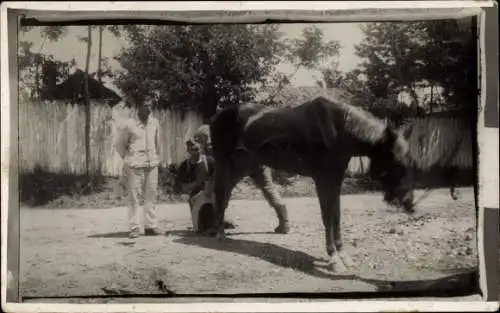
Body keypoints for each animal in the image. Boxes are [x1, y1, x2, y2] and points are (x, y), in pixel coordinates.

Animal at [209, 97, 416, 270]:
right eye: (396, 163)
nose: (409, 203)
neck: (339, 130)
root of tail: (217, 115)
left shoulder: (335, 180)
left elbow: (336, 217)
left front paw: (343, 255)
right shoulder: (323, 180)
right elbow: (327, 217)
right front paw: (334, 258)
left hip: (242, 165)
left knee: (225, 194)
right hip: (223, 161)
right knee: (220, 192)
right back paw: (219, 233)